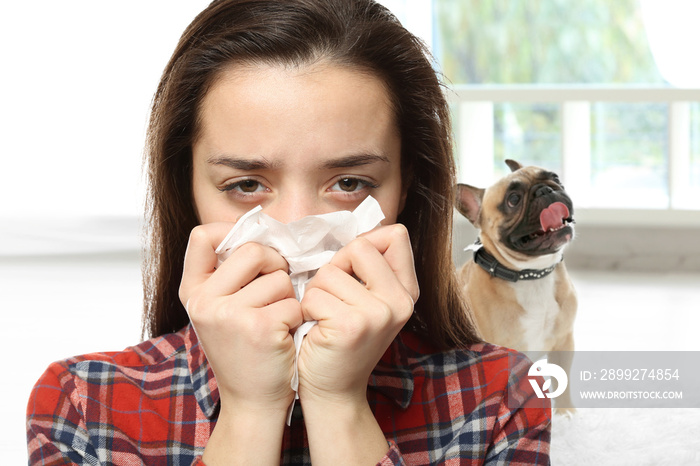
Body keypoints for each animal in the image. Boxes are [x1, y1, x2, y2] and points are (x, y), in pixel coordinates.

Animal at [456, 160, 576, 416]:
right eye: (513, 199)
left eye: (555, 177)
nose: (545, 190)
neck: (531, 275)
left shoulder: (564, 341)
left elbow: (563, 381)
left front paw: (566, 413)